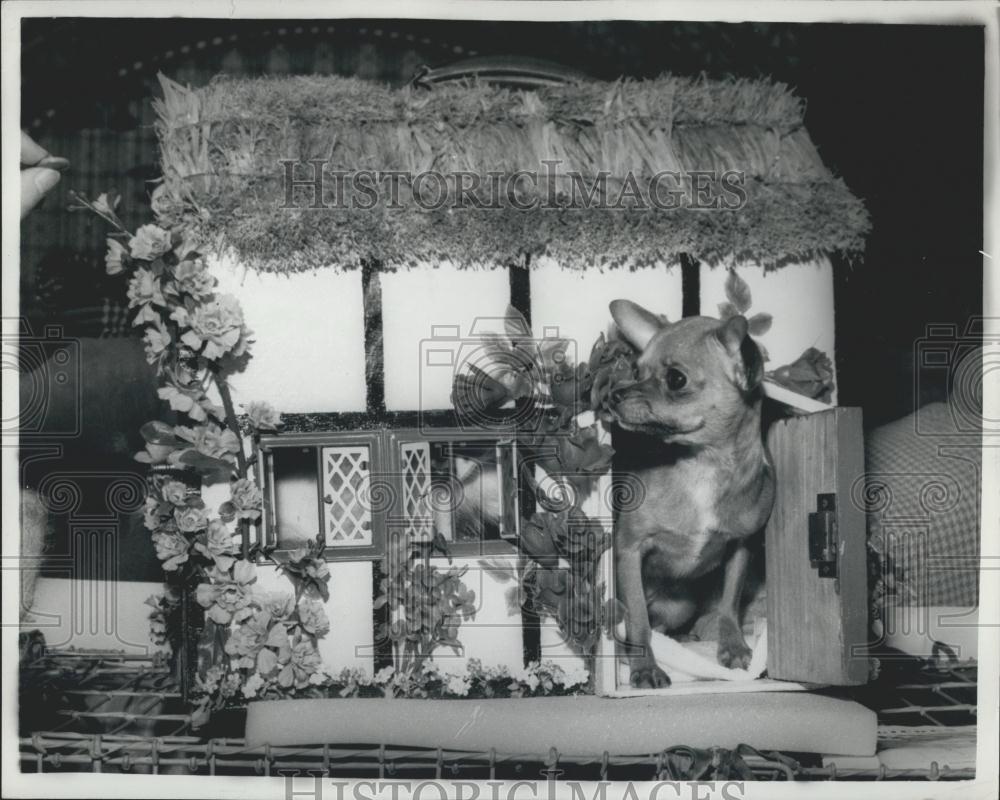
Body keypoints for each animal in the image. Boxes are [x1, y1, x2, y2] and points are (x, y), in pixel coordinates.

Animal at [600, 300, 772, 688]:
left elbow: (729, 603)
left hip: (680, 606)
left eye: (676, 379)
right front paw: (646, 668)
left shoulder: (740, 547)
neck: (701, 465)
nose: (614, 394)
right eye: (636, 370)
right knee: (636, 618)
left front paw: (734, 646)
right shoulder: (629, 550)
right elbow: (638, 621)